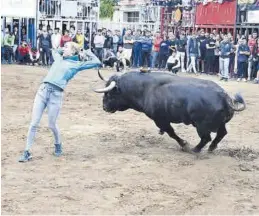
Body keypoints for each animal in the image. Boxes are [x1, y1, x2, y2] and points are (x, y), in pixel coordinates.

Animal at [94, 70, 247, 153]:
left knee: (206, 138)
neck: (144, 88)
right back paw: (211, 148)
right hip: (219, 124)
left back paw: (195, 150)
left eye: (109, 94)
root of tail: (224, 96)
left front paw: (184, 144)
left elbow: (171, 133)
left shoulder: (160, 120)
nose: (104, 107)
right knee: (221, 134)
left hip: (201, 126)